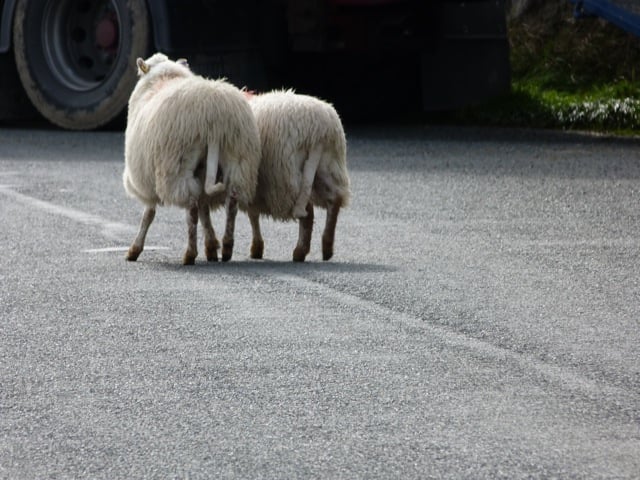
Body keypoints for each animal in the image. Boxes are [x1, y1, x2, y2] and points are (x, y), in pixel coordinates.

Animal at [122, 53, 261, 264]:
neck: (165, 76)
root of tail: (214, 121)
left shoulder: (148, 180)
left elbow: (148, 214)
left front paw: (134, 250)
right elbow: (205, 209)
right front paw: (211, 246)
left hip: (178, 166)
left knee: (192, 211)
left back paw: (189, 254)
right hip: (239, 158)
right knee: (231, 203)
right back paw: (226, 248)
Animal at [244, 89, 351, 262]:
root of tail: (317, 133)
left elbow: (252, 214)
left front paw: (256, 248)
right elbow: (252, 214)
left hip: (286, 175)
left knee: (307, 213)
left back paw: (300, 252)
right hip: (330, 166)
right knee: (334, 201)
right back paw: (326, 247)